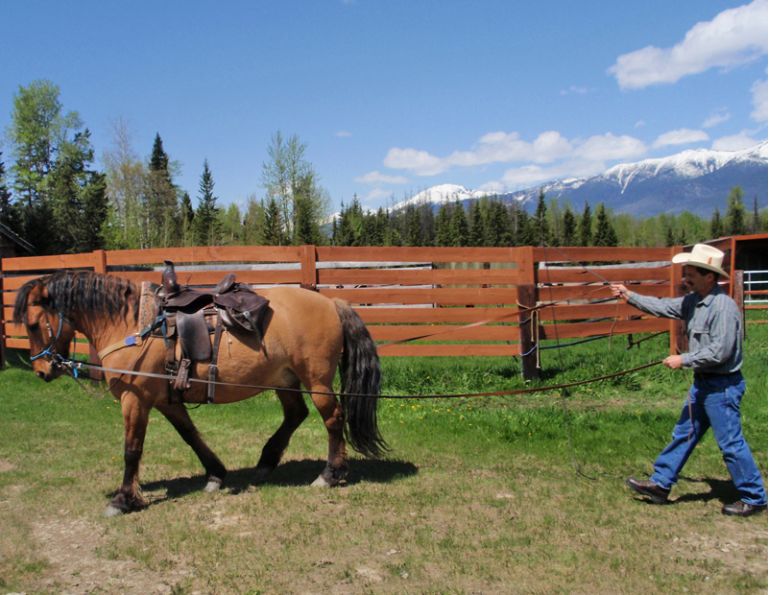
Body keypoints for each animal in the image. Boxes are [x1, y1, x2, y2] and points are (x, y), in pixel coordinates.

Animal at [13, 269, 386, 516]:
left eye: (32, 324)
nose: (42, 370)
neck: (133, 326)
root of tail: (331, 302)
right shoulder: (166, 401)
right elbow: (191, 436)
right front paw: (216, 475)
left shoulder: (136, 401)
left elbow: (132, 450)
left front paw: (122, 499)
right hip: (284, 379)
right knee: (296, 414)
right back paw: (265, 463)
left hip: (317, 381)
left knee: (333, 419)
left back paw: (330, 474)